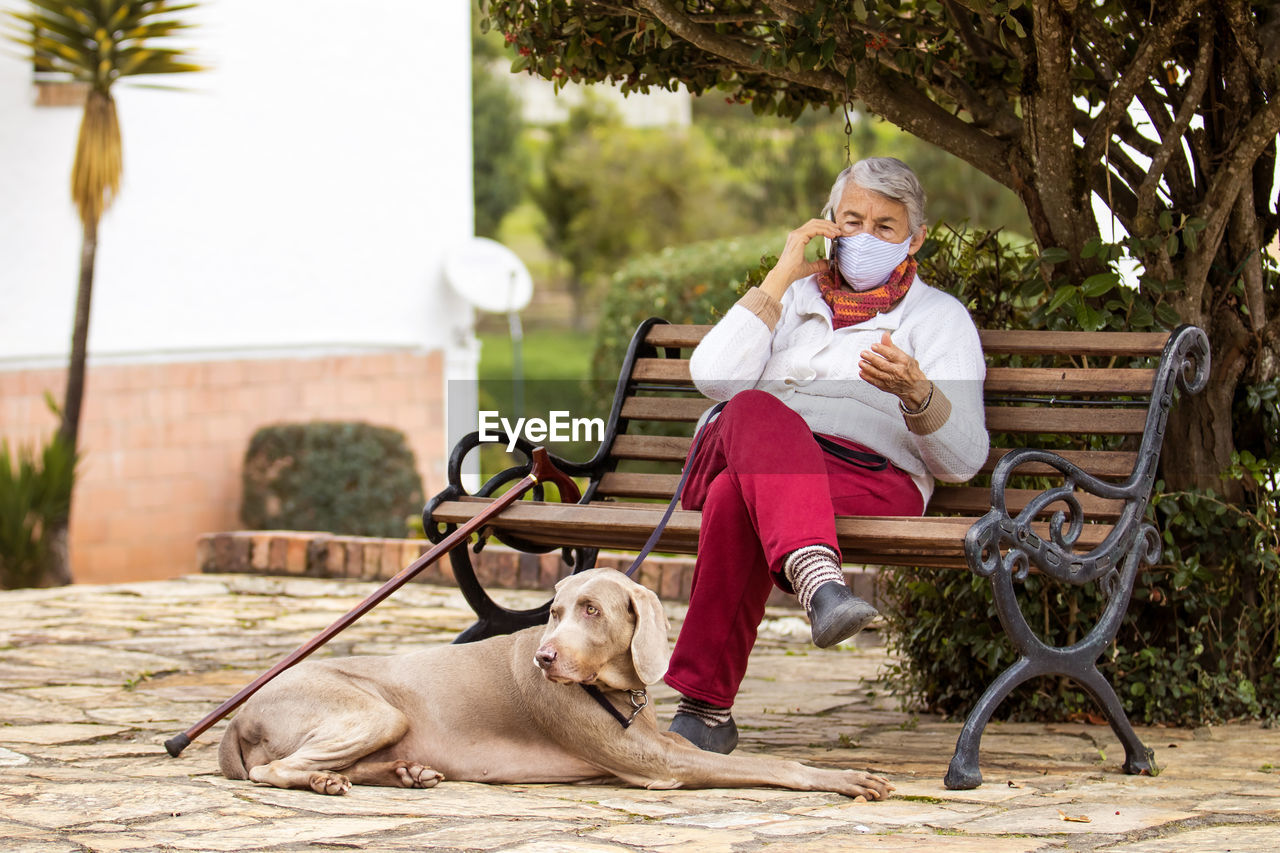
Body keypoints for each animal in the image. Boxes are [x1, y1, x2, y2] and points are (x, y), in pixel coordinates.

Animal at [220, 563, 896, 799]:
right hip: (375, 711)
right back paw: (323, 780)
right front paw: (845, 778)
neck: (618, 689)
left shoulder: (662, 744)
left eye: (591, 610)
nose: (545, 658)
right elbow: (772, 764)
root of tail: (238, 714)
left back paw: (403, 773)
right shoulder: (659, 765)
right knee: (269, 771)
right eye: (553, 612)